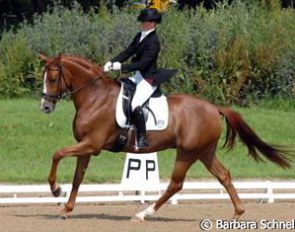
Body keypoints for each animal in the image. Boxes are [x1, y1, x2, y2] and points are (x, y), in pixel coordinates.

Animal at [38, 53, 292, 220]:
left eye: (52, 78)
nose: (45, 107)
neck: (95, 98)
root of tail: (214, 108)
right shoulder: (86, 146)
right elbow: (77, 177)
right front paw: (66, 208)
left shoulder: (92, 144)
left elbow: (56, 154)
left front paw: (55, 190)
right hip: (205, 152)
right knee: (224, 175)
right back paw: (238, 213)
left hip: (188, 153)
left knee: (176, 184)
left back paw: (144, 213)